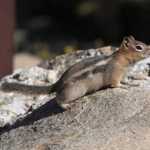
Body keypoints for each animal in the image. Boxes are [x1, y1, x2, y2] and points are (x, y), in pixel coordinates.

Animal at [1, 36, 150, 109]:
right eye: (139, 47)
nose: (149, 50)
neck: (123, 60)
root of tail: (58, 83)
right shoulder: (115, 74)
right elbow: (116, 84)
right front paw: (125, 86)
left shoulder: (123, 74)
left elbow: (126, 80)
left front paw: (133, 83)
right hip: (75, 92)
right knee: (58, 98)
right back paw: (66, 106)